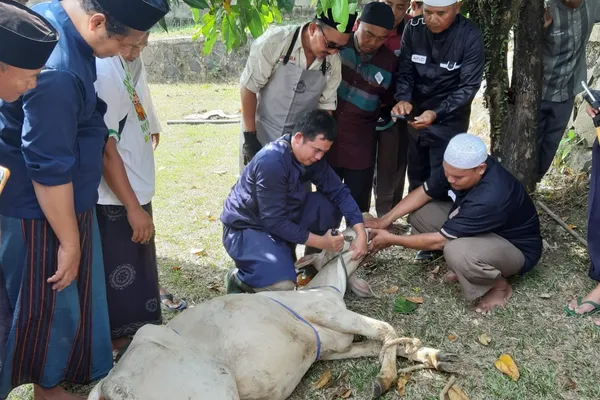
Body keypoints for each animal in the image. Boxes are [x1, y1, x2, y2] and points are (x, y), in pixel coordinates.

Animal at [88, 228, 454, 400]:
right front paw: (386, 379)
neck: (327, 287)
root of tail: (110, 385)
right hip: (213, 385)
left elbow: (381, 343)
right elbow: (386, 329)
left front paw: (436, 356)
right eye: (340, 235)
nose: (369, 232)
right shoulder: (325, 311)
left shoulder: (333, 348)